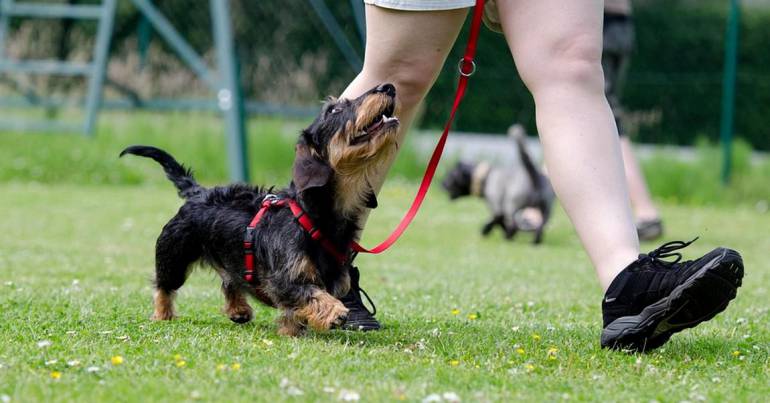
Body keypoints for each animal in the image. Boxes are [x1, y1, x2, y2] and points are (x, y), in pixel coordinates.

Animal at [118, 83, 402, 338]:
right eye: (333, 110)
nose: (388, 87)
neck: (313, 215)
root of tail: (198, 192)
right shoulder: (283, 279)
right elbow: (309, 294)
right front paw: (334, 311)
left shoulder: (334, 279)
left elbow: (297, 308)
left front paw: (291, 330)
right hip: (173, 255)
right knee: (163, 287)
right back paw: (162, 314)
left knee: (229, 280)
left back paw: (238, 310)